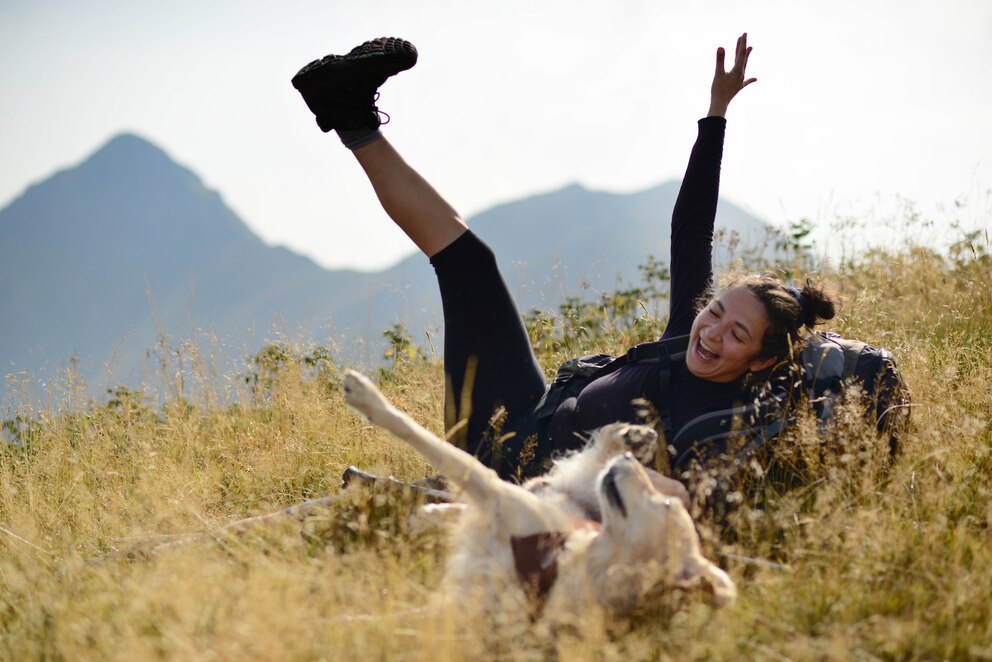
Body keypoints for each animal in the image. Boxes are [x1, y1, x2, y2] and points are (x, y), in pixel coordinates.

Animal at [340, 370, 736, 620]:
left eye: (665, 504)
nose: (626, 464)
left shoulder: (493, 494)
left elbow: (418, 434)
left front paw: (366, 397)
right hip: (572, 480)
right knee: (595, 452)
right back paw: (631, 437)